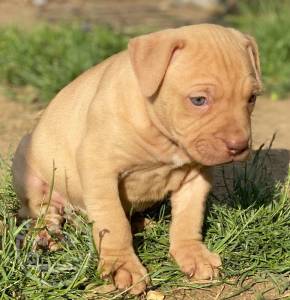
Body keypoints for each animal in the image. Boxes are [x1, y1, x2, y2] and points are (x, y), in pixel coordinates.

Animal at [11, 24, 260, 296]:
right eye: (198, 100)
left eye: (252, 98)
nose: (239, 146)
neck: (163, 135)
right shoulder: (99, 169)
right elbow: (113, 222)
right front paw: (123, 267)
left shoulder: (195, 178)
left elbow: (189, 218)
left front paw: (193, 254)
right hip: (27, 165)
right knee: (42, 209)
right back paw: (47, 233)